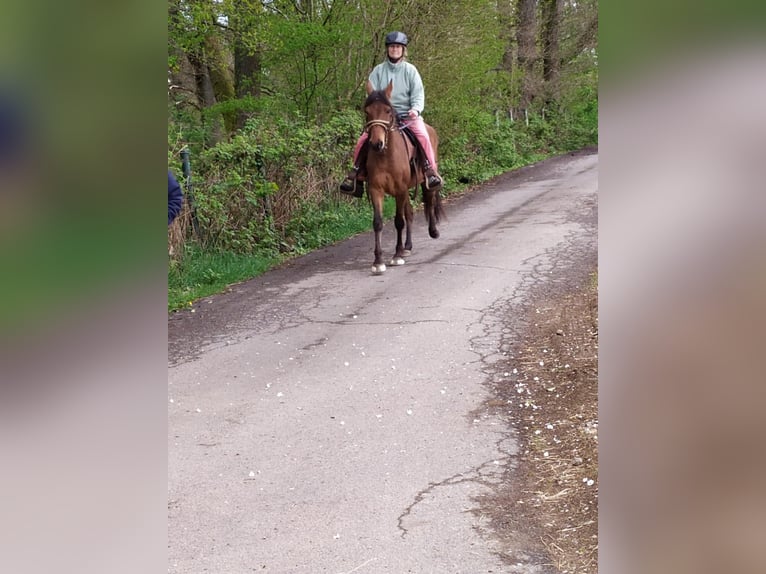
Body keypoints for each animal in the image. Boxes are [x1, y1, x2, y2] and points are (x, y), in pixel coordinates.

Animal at [361, 79, 444, 275]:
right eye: (367, 112)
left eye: (388, 110)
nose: (376, 143)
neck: (386, 155)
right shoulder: (376, 190)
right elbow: (378, 222)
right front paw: (378, 261)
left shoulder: (400, 190)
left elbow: (399, 221)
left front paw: (397, 255)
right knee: (410, 213)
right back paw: (407, 246)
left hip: (423, 182)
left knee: (429, 201)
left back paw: (433, 232)